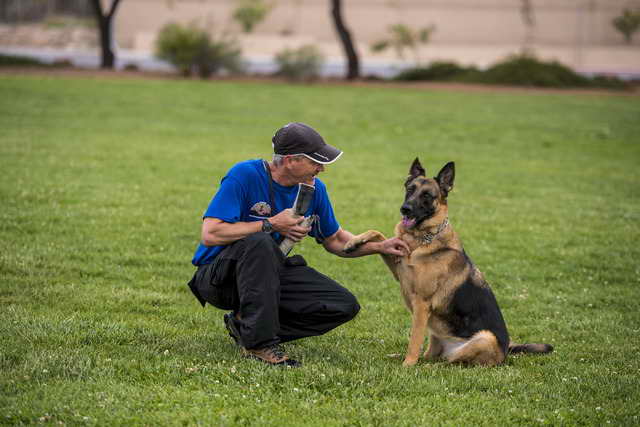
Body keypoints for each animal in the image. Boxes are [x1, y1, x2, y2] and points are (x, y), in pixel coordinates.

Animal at [342, 159, 552, 366]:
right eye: (410, 189)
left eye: (427, 195)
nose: (405, 209)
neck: (423, 239)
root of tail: (506, 351)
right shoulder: (398, 267)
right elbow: (379, 234)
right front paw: (353, 242)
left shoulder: (421, 304)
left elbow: (414, 340)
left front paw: (407, 365)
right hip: (435, 332)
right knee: (434, 356)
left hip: (483, 337)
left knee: (451, 361)